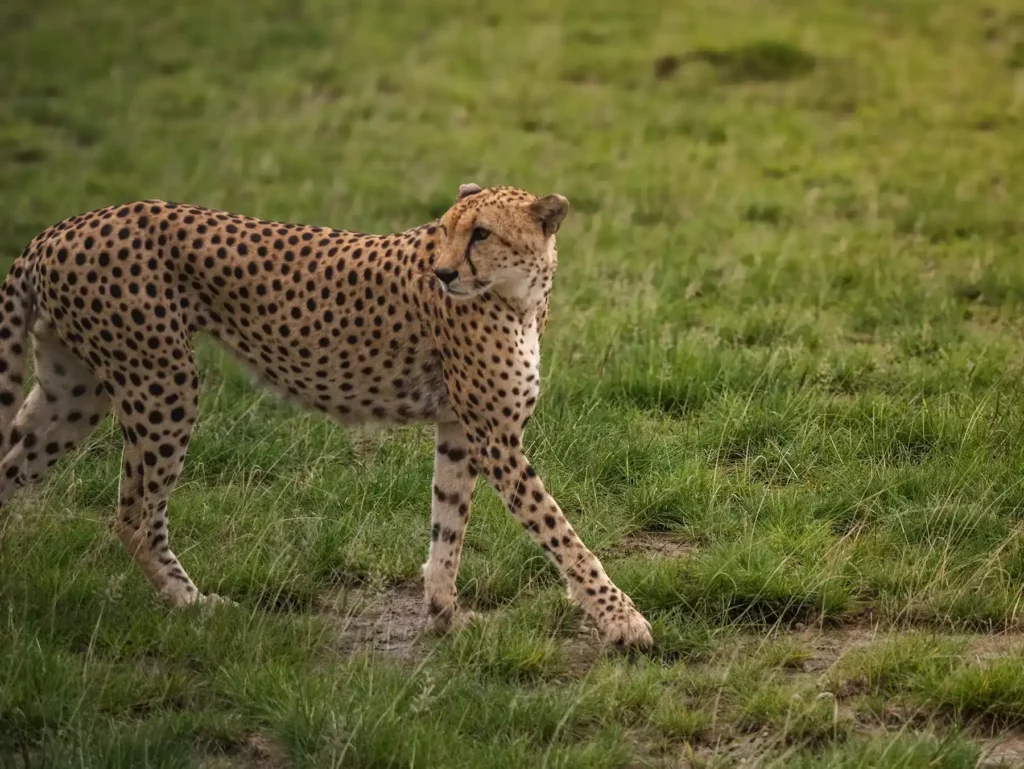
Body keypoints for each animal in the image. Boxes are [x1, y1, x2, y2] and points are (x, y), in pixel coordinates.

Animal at [0, 182, 653, 649]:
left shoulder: (459, 433)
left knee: (13, 469)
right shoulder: (495, 438)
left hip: (74, 393)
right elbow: (560, 532)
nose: (443, 273)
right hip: (162, 384)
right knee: (135, 515)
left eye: (482, 234)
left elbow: (448, 526)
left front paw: (445, 616)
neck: (518, 295)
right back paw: (192, 604)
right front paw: (623, 621)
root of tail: (64, 227)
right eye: (446, 232)